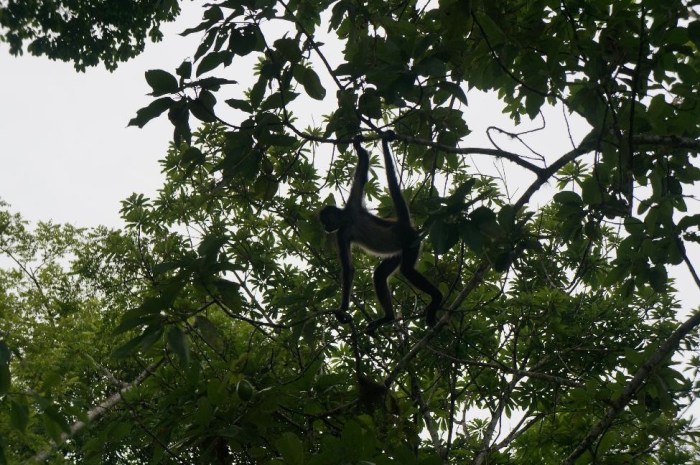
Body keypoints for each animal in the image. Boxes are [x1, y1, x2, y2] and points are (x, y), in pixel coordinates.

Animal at [319, 131, 442, 333]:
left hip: (411, 242)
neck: (349, 219)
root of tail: (402, 225)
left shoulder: (347, 217)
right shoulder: (344, 227)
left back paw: (437, 297)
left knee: (407, 270)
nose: (324, 228)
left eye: (324, 221)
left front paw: (342, 308)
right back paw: (388, 317)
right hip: (399, 252)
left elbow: (348, 269)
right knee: (379, 274)